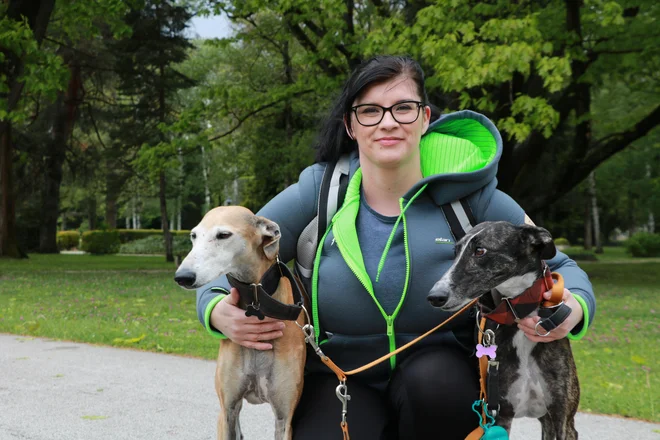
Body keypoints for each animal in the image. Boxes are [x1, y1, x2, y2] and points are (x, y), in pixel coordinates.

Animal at [175, 207, 310, 440]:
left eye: (223, 235)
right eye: (193, 236)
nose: (183, 276)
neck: (256, 301)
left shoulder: (284, 417)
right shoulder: (228, 409)